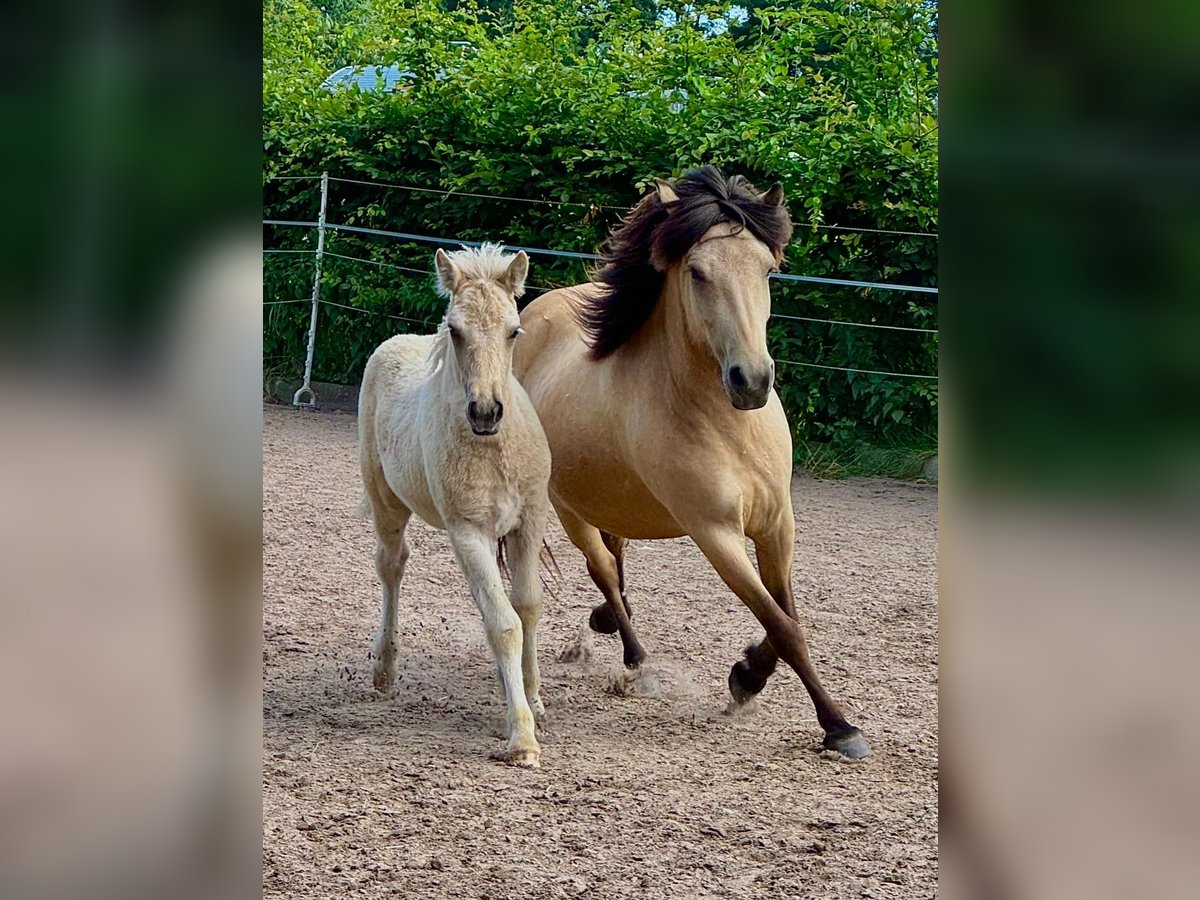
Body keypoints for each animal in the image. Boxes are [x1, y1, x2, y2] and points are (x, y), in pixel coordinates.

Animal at [357, 244, 549, 768]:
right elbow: (503, 625)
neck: (494, 450)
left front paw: (533, 696)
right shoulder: (469, 534)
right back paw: (383, 670)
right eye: (455, 331)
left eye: (513, 330)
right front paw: (521, 737)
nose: (485, 412)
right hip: (386, 502)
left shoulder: (529, 523)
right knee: (391, 566)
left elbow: (527, 606)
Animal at [511, 165, 868, 758]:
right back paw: (636, 659)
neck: (726, 426)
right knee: (601, 566)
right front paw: (838, 725)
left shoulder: (778, 524)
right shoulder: (715, 533)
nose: (752, 381)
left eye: (767, 269)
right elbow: (784, 626)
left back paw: (610, 623)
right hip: (567, 508)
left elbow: (786, 616)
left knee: (615, 557)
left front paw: (748, 675)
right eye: (698, 272)